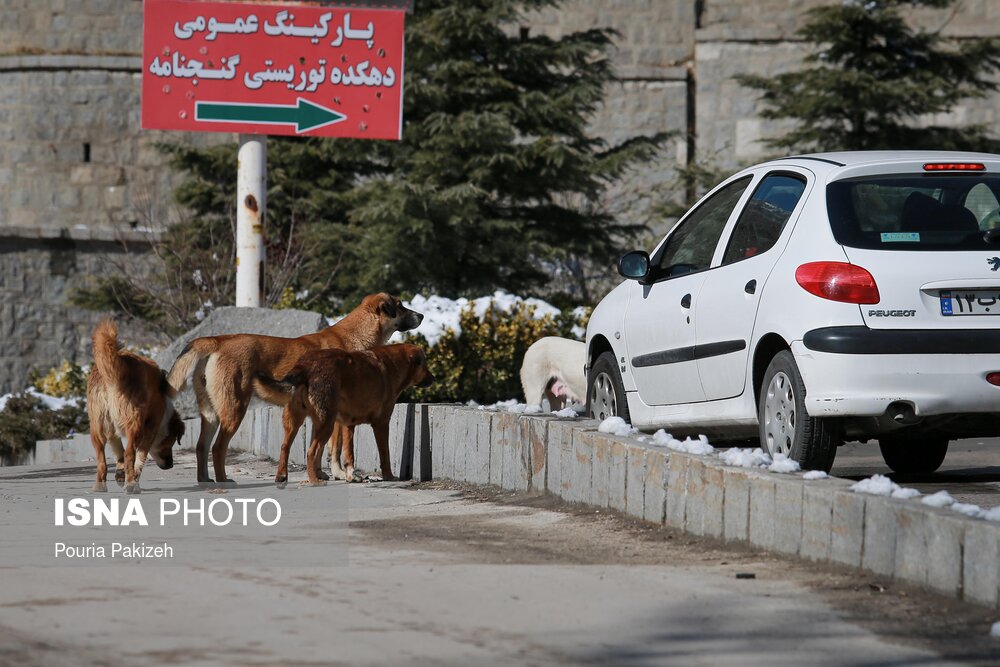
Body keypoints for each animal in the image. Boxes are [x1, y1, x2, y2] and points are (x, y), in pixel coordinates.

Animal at [88, 320, 186, 494]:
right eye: (171, 442)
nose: (170, 465)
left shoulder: (112, 431)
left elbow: (118, 452)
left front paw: (121, 475)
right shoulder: (151, 428)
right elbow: (139, 458)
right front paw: (132, 480)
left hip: (97, 425)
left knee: (101, 459)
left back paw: (100, 485)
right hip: (135, 424)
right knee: (129, 454)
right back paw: (131, 485)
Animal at [258, 344, 434, 486]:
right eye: (424, 365)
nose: (433, 378)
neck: (394, 364)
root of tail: (305, 365)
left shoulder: (348, 424)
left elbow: (348, 453)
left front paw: (351, 476)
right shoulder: (381, 423)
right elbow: (385, 454)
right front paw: (389, 476)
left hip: (297, 421)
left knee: (285, 446)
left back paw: (282, 476)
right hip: (326, 423)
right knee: (311, 451)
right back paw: (314, 480)